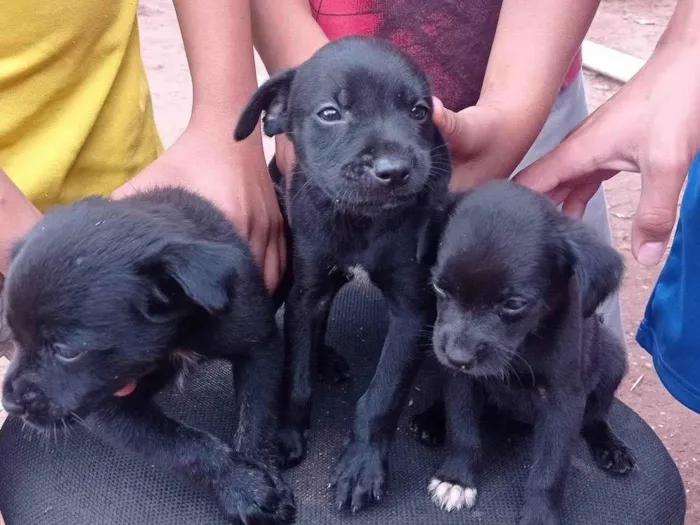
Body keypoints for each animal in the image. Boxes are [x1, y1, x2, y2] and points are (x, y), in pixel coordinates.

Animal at [0, 186, 296, 520]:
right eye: (13, 336)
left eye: (66, 352)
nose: (10, 404)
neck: (177, 337)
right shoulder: (113, 409)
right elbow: (182, 446)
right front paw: (242, 486)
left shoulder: (259, 343)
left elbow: (258, 418)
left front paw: (257, 472)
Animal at [235, 34, 452, 510]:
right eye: (330, 113)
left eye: (419, 111)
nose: (394, 171)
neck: (361, 222)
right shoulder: (308, 291)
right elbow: (296, 372)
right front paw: (287, 435)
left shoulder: (412, 312)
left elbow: (383, 396)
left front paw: (361, 468)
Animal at [422, 181, 636, 524]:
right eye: (440, 287)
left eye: (513, 304)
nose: (457, 357)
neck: (524, 346)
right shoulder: (462, 382)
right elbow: (462, 430)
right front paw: (455, 478)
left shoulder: (562, 401)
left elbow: (551, 468)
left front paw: (540, 514)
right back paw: (431, 420)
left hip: (613, 358)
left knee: (596, 415)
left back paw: (612, 448)